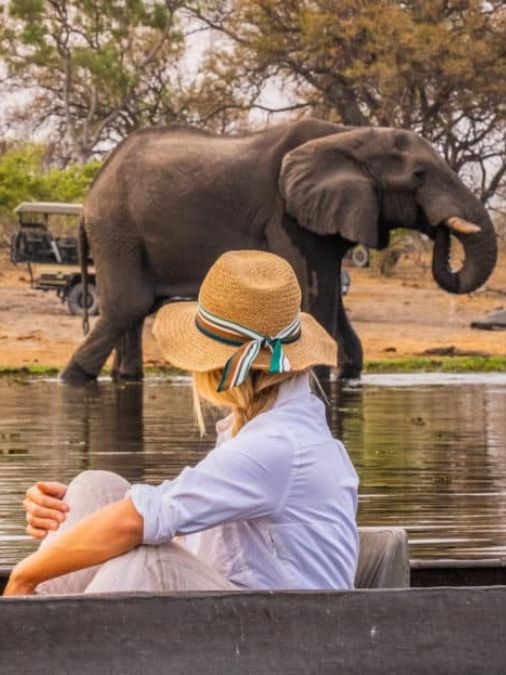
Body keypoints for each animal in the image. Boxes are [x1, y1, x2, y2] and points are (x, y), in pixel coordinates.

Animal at [60, 118, 498, 384]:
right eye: (418, 176)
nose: (440, 229)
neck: (350, 135)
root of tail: (90, 193)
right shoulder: (288, 215)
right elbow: (317, 293)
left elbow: (333, 300)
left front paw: (348, 373)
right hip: (117, 228)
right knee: (129, 305)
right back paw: (72, 378)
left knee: (135, 311)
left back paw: (125, 378)